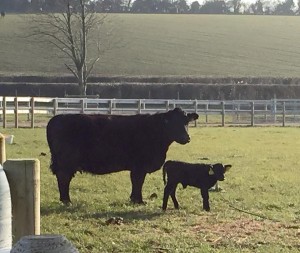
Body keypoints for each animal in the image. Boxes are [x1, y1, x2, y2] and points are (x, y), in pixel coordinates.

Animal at [47, 107, 199, 205]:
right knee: (63, 178)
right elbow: (138, 182)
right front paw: (139, 201)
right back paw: (67, 200)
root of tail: (57, 118)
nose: (186, 138)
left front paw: (134, 199)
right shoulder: (139, 166)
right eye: (172, 123)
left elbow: (136, 182)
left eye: (186, 122)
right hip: (66, 161)